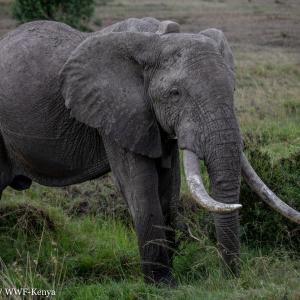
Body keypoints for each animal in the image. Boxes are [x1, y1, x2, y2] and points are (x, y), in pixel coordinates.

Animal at [0, 17, 300, 284]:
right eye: (175, 94)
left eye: (233, 89)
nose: (231, 278)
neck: (155, 39)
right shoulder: (118, 113)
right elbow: (141, 188)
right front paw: (162, 284)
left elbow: (169, 189)